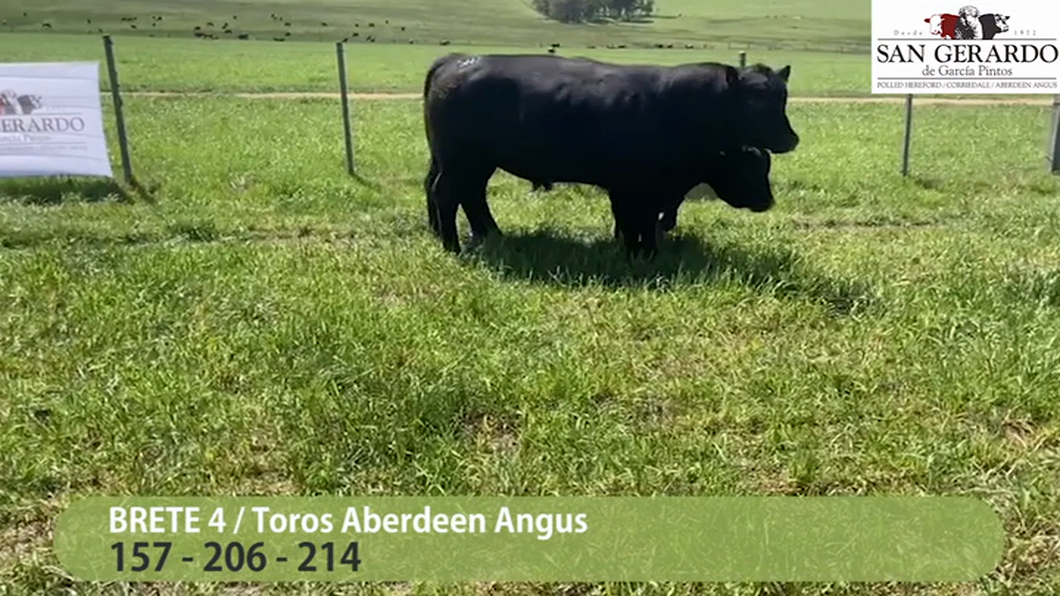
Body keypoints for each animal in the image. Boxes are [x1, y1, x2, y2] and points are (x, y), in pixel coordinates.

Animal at [417, 55, 797, 257]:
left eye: (782, 98)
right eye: (755, 103)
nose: (791, 139)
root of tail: (455, 61)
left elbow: (642, 221)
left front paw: (642, 251)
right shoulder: (634, 187)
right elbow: (637, 221)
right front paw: (641, 254)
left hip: (470, 163)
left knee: (468, 194)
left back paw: (489, 235)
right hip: (461, 160)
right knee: (447, 193)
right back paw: (452, 245)